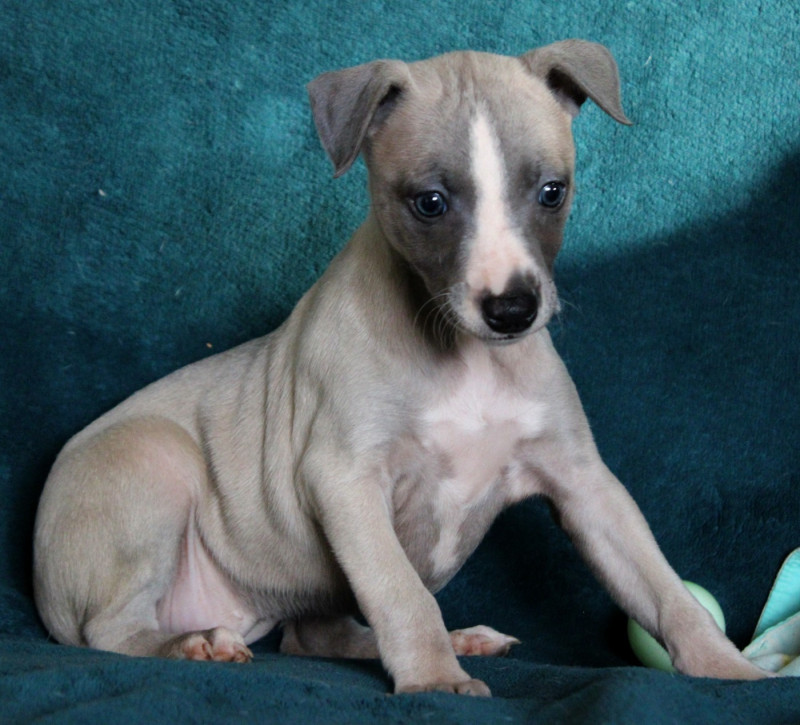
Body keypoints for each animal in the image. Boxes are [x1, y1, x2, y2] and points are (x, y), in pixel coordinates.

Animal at [33, 40, 767, 695]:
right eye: (430, 203)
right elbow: (400, 592)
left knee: (315, 635)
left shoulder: (585, 484)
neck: (462, 356)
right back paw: (195, 643)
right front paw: (435, 681)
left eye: (552, 192)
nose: (512, 310)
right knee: (110, 631)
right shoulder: (346, 480)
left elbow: (662, 585)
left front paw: (729, 670)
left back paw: (459, 636)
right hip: (151, 469)